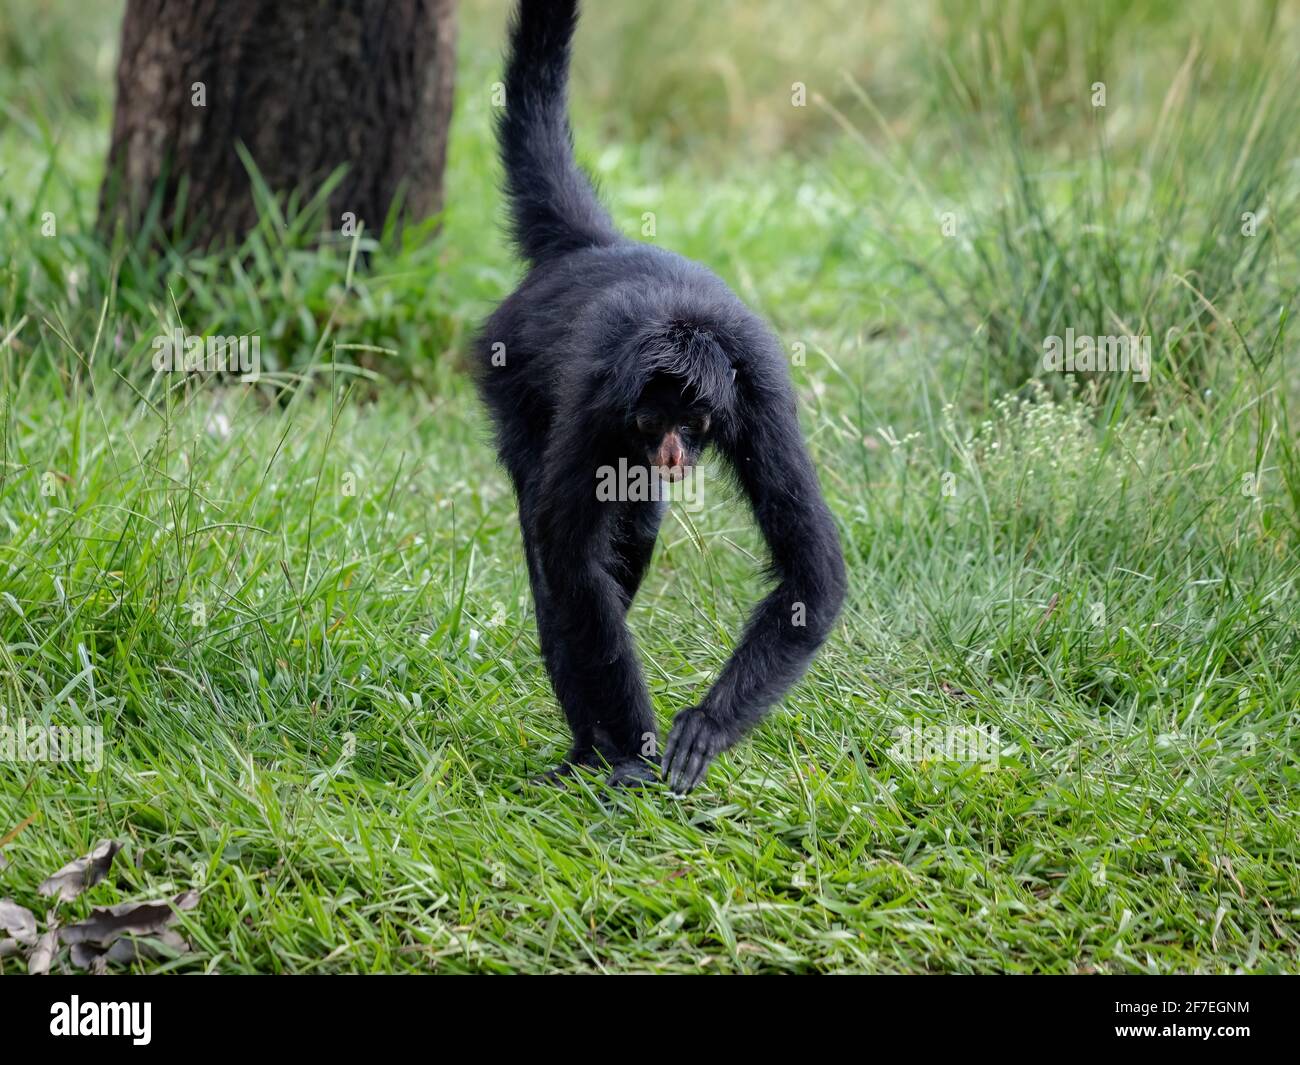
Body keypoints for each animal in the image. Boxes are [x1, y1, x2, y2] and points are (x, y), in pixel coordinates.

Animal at [473, 0, 847, 790]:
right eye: (652, 419)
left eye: (697, 418)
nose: (672, 451)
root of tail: (597, 248)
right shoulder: (597, 400)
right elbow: (572, 567)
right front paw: (637, 748)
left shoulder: (759, 392)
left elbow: (812, 573)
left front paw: (704, 725)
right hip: (511, 382)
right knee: (562, 562)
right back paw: (590, 748)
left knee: (636, 524)